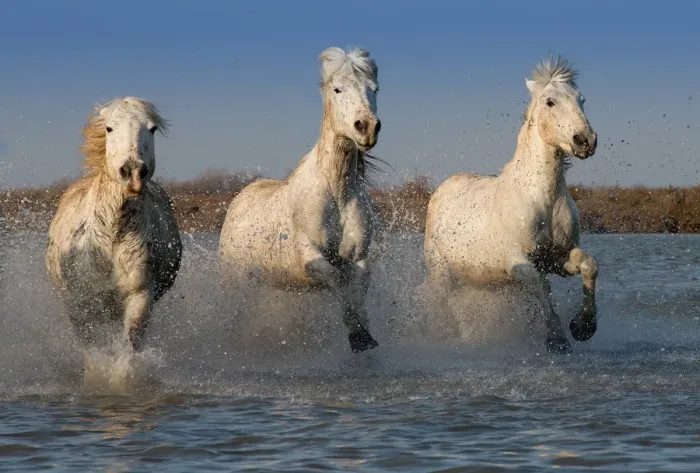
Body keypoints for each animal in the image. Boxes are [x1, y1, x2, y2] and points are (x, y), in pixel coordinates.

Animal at [46, 97, 182, 352]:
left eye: (152, 128)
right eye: (109, 128)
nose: (133, 173)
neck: (109, 235)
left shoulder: (139, 296)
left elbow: (128, 348)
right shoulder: (80, 307)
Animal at [219, 47, 382, 353]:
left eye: (374, 88)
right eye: (337, 89)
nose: (366, 127)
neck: (335, 191)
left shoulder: (358, 258)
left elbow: (356, 291)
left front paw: (363, 335)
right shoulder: (310, 255)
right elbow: (337, 280)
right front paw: (357, 335)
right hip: (237, 282)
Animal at [424, 56, 599, 354]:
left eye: (582, 99)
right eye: (550, 102)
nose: (585, 140)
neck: (542, 199)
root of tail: (443, 189)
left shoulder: (555, 258)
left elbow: (589, 265)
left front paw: (583, 326)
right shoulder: (519, 262)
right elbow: (542, 287)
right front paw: (557, 338)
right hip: (440, 273)